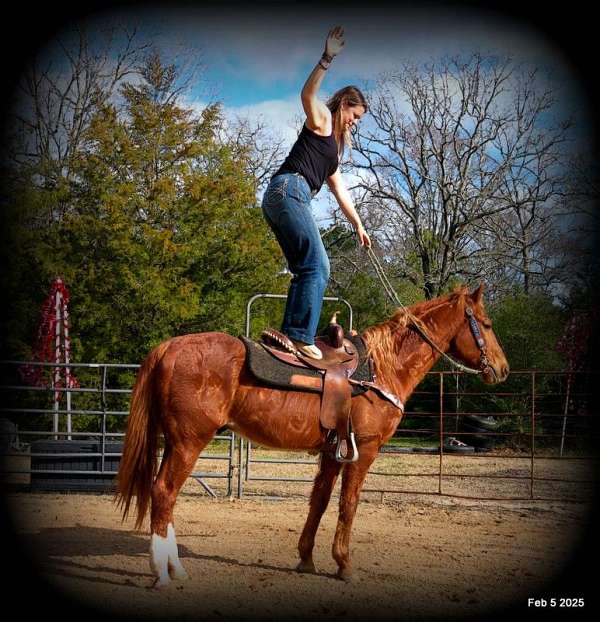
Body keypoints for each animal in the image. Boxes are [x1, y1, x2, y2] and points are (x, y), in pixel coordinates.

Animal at [116, 286, 506, 588]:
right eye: (486, 324)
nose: (502, 369)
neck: (382, 368)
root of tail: (168, 348)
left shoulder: (334, 451)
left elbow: (318, 502)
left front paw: (306, 558)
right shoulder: (364, 450)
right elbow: (348, 504)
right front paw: (344, 565)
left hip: (175, 442)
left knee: (163, 494)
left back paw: (175, 568)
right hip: (189, 442)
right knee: (164, 492)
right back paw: (163, 573)